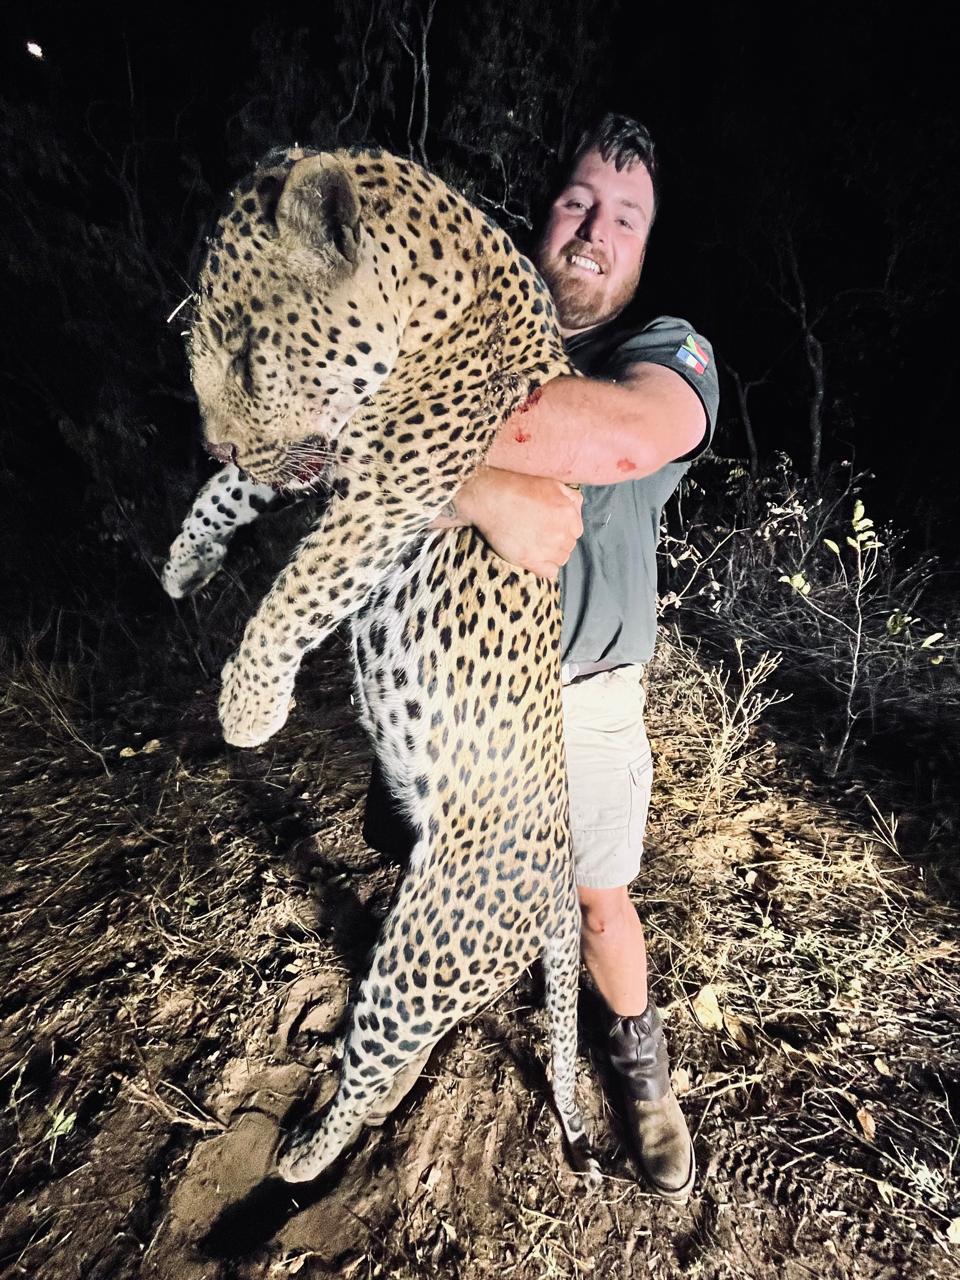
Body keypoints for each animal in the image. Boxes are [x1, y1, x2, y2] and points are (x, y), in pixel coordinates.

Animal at [169, 144, 601, 1188]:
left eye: (248, 353)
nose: (210, 434)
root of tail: (560, 888)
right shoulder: (327, 459)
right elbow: (235, 489)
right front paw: (185, 559)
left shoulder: (391, 489)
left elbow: (303, 583)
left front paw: (248, 707)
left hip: (423, 952)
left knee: (374, 1063)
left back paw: (300, 1157)